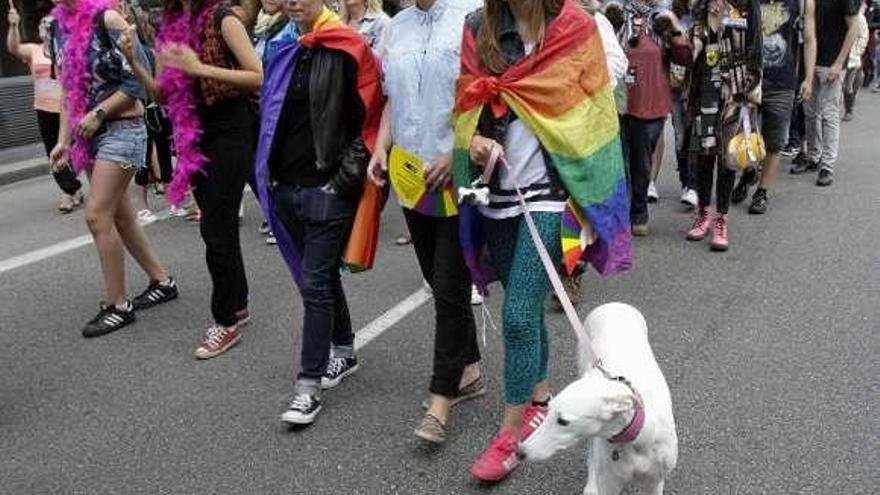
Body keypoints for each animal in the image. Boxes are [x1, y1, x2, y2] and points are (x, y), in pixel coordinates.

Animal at [520, 302, 676, 495]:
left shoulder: (655, 481)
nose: (520, 452)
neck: (639, 436)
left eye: (563, 421)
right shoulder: (609, 483)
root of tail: (612, 304)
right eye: (547, 411)